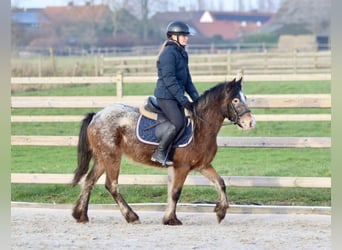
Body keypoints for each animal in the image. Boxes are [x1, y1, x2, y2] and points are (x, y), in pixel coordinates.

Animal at [71, 74, 255, 225]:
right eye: (236, 100)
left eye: (245, 97)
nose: (251, 122)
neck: (200, 127)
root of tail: (96, 115)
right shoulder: (182, 167)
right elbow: (175, 192)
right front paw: (171, 219)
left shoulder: (202, 165)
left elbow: (221, 183)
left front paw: (221, 211)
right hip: (112, 157)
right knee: (112, 185)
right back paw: (131, 216)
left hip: (103, 158)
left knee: (89, 181)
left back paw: (80, 215)